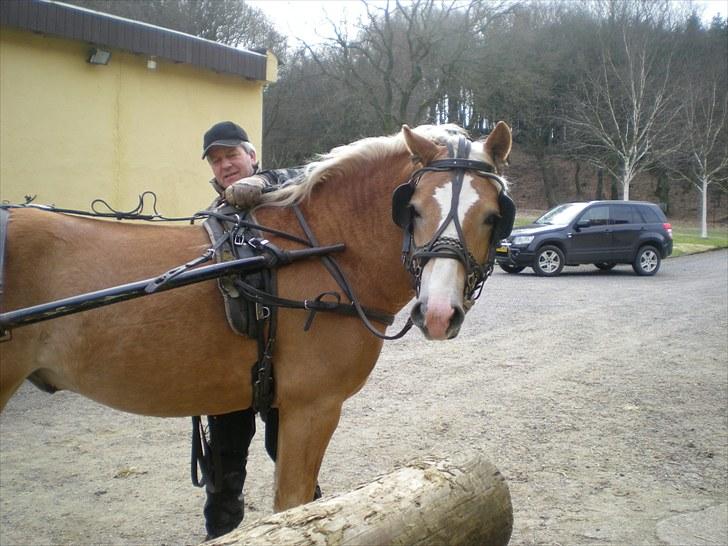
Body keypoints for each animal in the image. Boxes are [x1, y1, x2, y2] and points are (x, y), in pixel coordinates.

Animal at [0, 121, 512, 512]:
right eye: (413, 208)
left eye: (492, 216)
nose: (439, 313)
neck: (322, 247)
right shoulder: (313, 407)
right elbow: (292, 504)